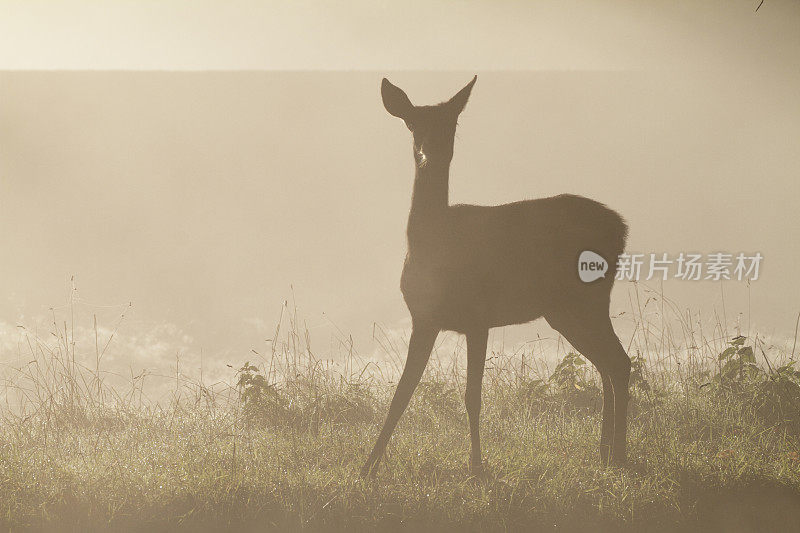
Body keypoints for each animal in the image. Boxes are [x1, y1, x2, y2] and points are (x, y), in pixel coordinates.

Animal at [362, 76, 632, 478]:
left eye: (452, 124)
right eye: (412, 124)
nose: (428, 154)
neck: (433, 245)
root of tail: (622, 228)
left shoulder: (477, 316)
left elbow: (472, 395)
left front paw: (476, 467)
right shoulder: (424, 318)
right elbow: (402, 392)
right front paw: (367, 466)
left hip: (585, 300)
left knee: (619, 362)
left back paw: (618, 454)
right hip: (566, 310)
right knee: (607, 364)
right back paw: (605, 453)